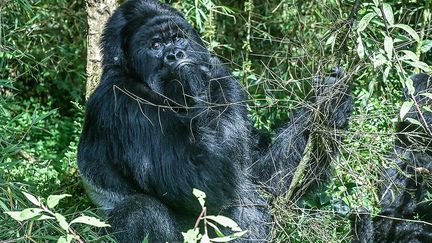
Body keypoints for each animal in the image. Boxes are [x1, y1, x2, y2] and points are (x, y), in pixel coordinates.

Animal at [77, 0, 352, 241]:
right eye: (155, 45)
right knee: (138, 210)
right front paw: (205, 78)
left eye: (177, 38)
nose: (176, 54)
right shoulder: (122, 102)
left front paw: (331, 101)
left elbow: (264, 180)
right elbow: (204, 180)